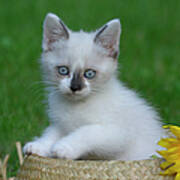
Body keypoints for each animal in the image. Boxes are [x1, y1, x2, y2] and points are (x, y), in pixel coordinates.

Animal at [23, 13, 165, 160]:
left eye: (89, 73)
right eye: (63, 70)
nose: (75, 87)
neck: (76, 106)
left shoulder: (117, 132)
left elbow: (87, 131)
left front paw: (63, 147)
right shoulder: (61, 125)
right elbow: (51, 133)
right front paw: (39, 145)